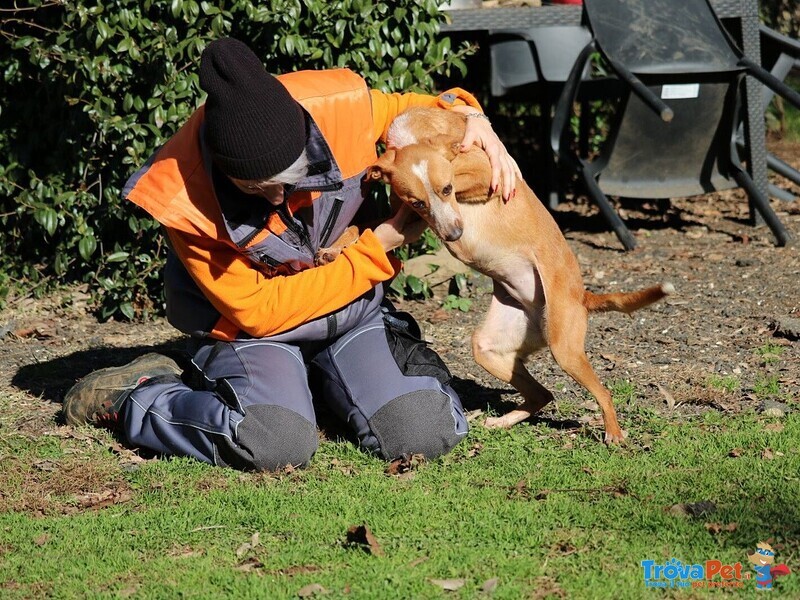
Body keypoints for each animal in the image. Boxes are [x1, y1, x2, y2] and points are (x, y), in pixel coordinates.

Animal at [368, 106, 676, 446]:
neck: (413, 134)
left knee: (603, 393)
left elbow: (460, 171)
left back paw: (614, 433)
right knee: (542, 395)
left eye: (446, 189)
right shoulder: (413, 211)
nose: (454, 235)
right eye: (417, 202)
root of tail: (582, 296)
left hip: (564, 350)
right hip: (489, 348)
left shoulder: (487, 174)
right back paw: (503, 421)